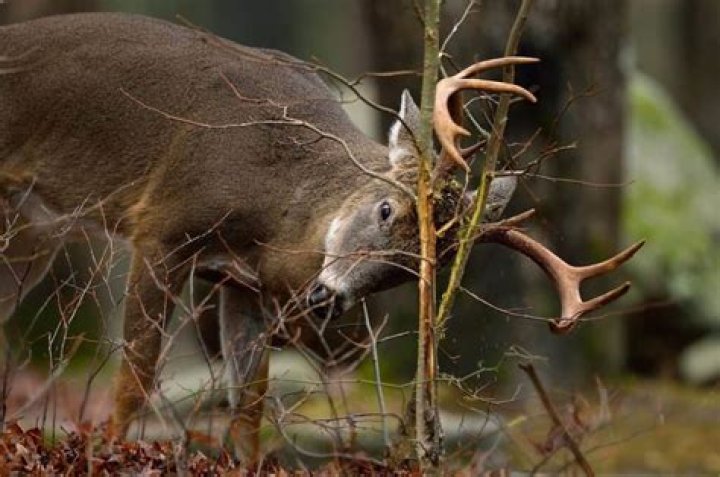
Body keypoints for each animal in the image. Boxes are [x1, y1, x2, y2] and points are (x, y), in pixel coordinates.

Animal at [0, 12, 643, 463]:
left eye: (416, 269)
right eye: (385, 209)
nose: (327, 298)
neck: (276, 213)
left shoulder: (240, 282)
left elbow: (250, 404)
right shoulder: (161, 226)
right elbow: (135, 378)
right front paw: (109, 452)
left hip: (32, 229)